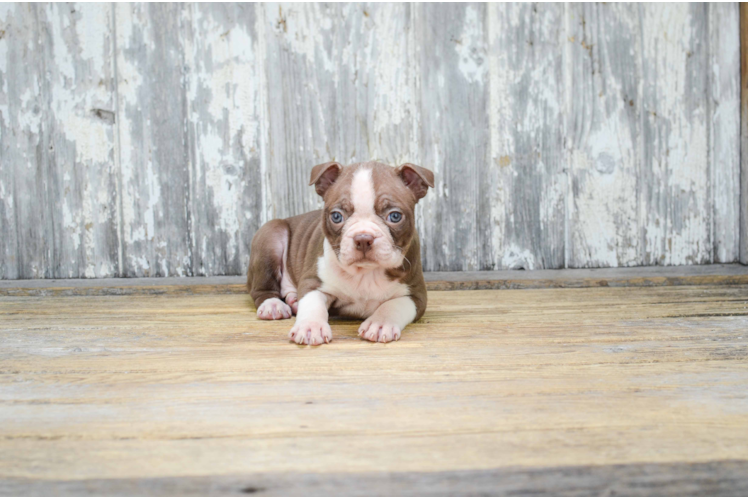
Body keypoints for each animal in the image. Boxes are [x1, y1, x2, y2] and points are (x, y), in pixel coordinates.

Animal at [245, 160, 432, 344]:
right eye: (336, 216)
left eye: (395, 216)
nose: (363, 238)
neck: (365, 273)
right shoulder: (313, 283)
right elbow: (313, 305)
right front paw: (310, 327)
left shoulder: (416, 296)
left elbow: (393, 306)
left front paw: (380, 324)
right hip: (271, 237)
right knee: (261, 289)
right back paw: (272, 305)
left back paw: (293, 300)